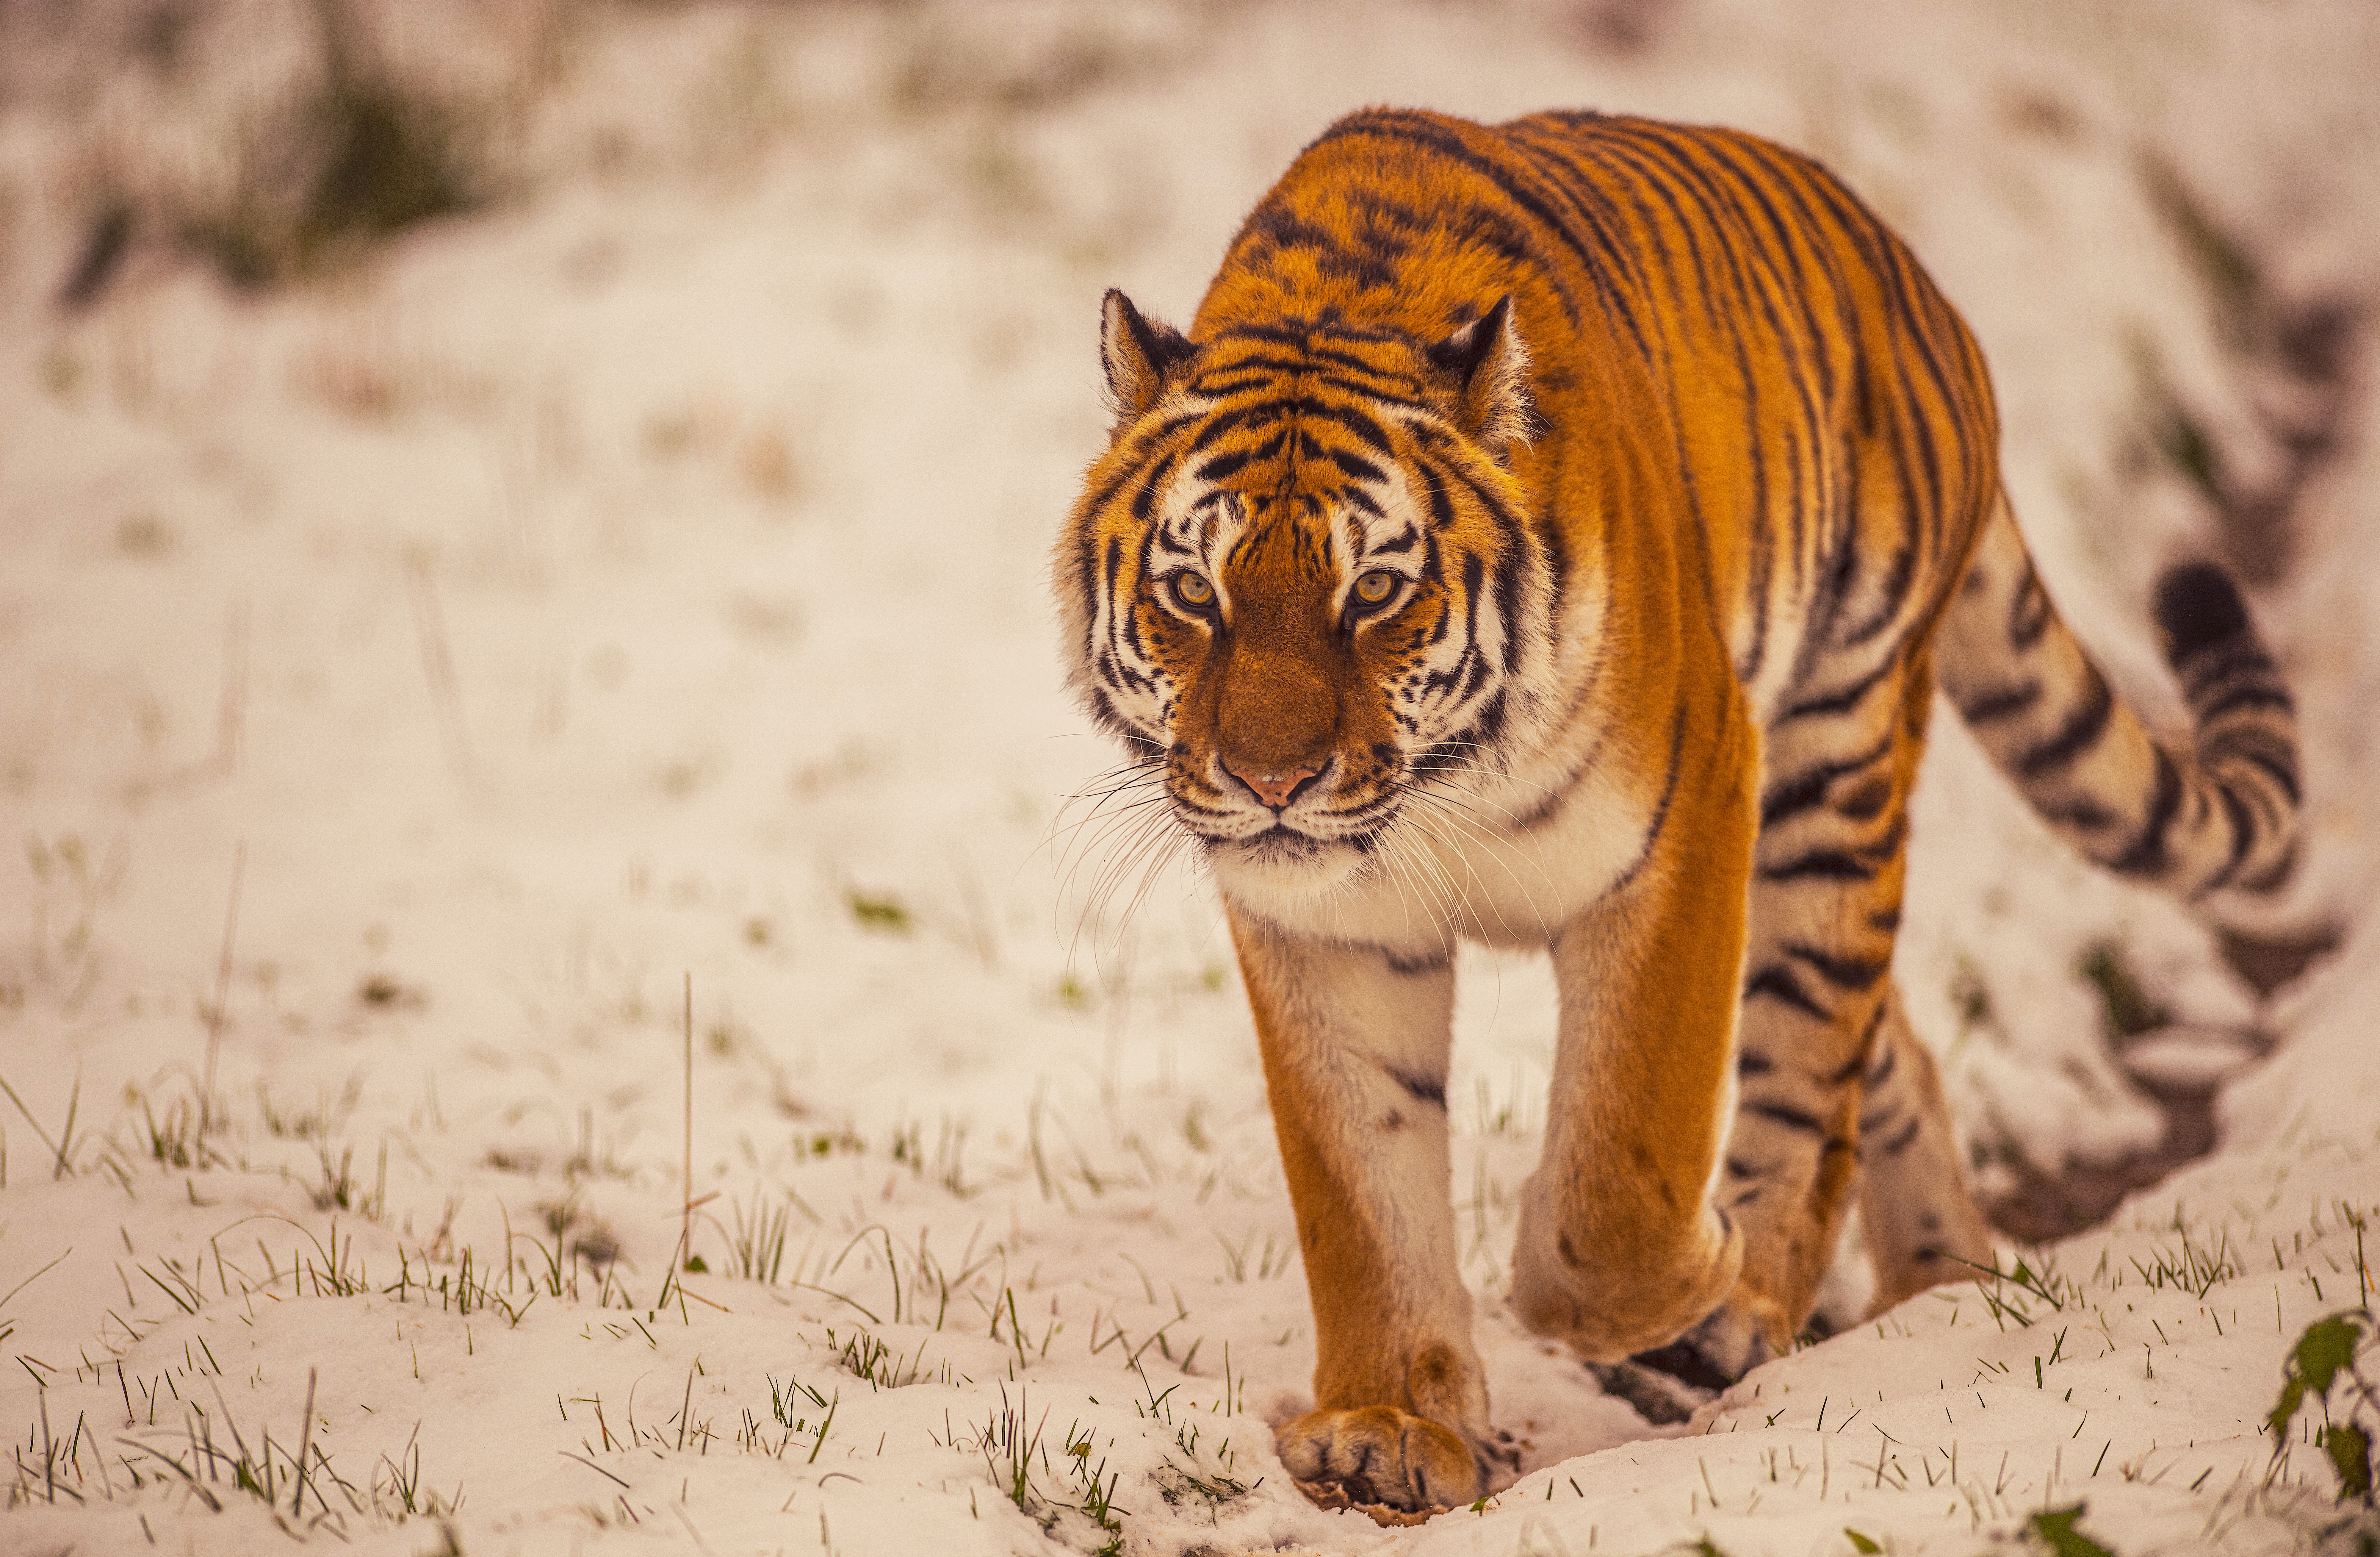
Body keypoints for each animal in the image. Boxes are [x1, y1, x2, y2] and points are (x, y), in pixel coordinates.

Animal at [1053, 107, 2299, 1516]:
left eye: (1372, 591)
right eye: (1192, 592)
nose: (1272, 781)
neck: (1439, 793)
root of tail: (1913, 280)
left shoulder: (1685, 819)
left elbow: (1621, 1170)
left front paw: (1688, 1272)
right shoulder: (1328, 930)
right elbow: (1360, 1190)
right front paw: (1386, 1423)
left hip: (1835, 756)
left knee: (1817, 1056)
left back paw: (1751, 1299)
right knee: (1890, 1050)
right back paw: (1941, 1286)